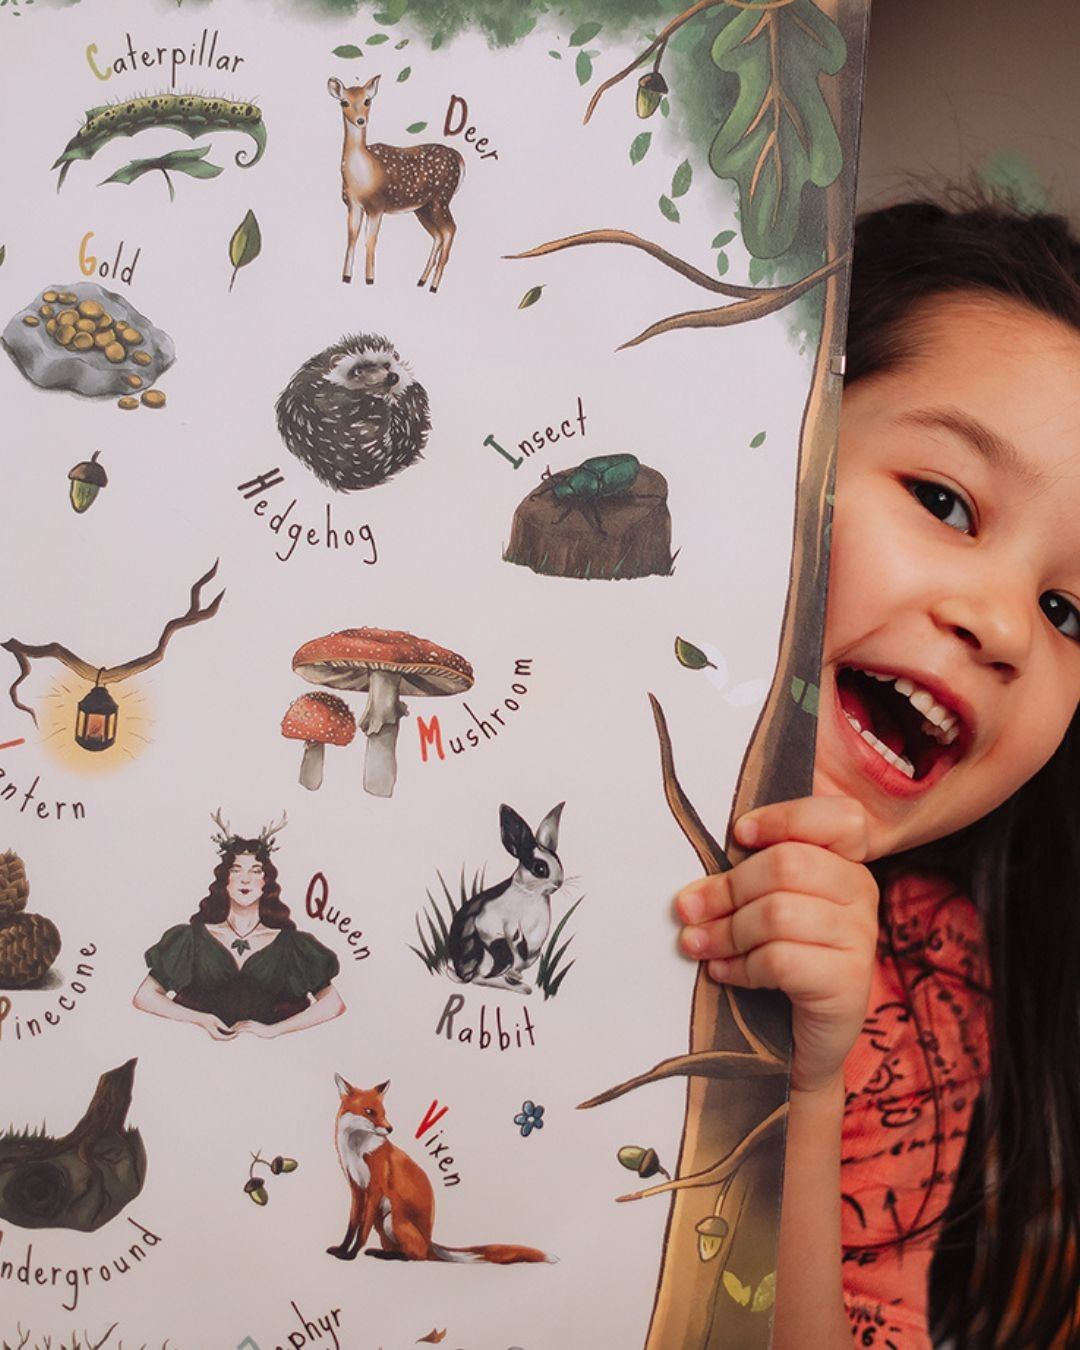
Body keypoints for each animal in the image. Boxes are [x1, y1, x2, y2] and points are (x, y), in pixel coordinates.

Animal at [326, 1074, 556, 1263]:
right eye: (369, 1112)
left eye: (384, 1112)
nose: (390, 1129)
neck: (357, 1152)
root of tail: (430, 1242)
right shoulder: (356, 1188)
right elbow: (352, 1226)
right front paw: (342, 1250)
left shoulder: (375, 1189)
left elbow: (361, 1231)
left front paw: (351, 1255)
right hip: (384, 1223)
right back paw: (380, 1252)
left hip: (393, 1219)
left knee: (415, 1256)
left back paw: (387, 1255)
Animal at [448, 799, 564, 993]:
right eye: (539, 868)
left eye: (559, 862)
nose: (559, 883)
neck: (530, 894)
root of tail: (462, 974)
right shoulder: (489, 919)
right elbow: (503, 943)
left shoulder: (535, 940)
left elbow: (524, 953)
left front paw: (517, 972)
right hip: (484, 958)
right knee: (480, 978)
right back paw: (520, 987)